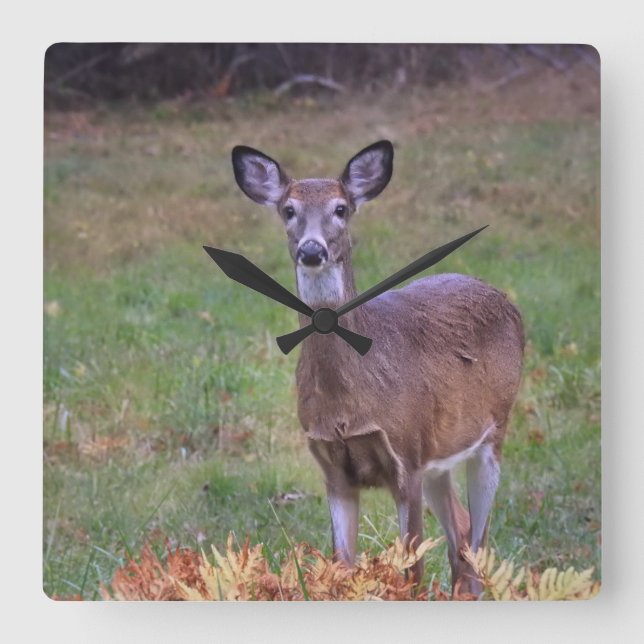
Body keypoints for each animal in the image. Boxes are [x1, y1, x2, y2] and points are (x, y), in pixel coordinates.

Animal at [230, 140, 524, 597]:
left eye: (341, 208)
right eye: (288, 209)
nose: (311, 250)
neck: (348, 403)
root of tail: (505, 299)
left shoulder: (406, 456)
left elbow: (412, 574)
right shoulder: (333, 469)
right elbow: (341, 568)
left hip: (493, 432)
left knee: (478, 546)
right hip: (439, 455)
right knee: (460, 533)